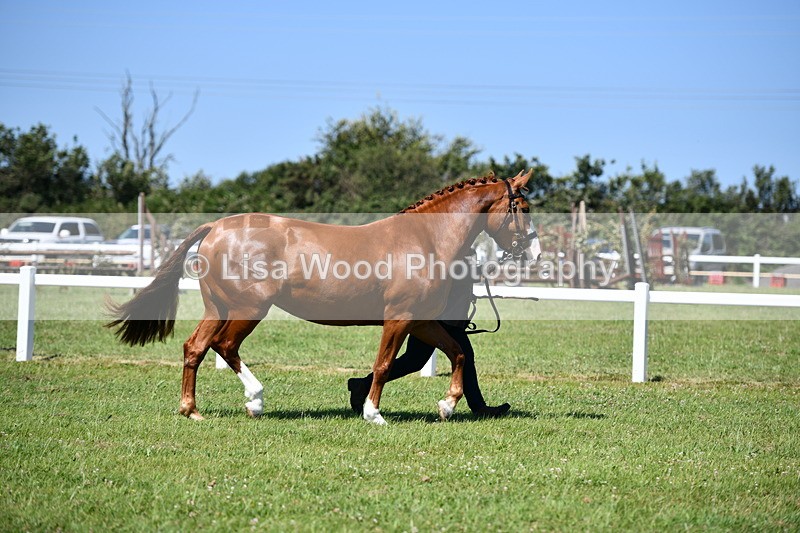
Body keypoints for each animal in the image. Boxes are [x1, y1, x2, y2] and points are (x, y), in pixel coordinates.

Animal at [106, 170, 541, 425]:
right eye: (523, 207)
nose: (535, 254)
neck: (424, 240)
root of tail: (216, 227)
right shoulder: (399, 319)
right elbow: (384, 364)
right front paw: (373, 414)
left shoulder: (421, 321)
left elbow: (459, 354)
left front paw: (447, 405)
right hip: (249, 309)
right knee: (225, 346)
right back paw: (255, 401)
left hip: (219, 307)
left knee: (195, 347)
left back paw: (191, 410)